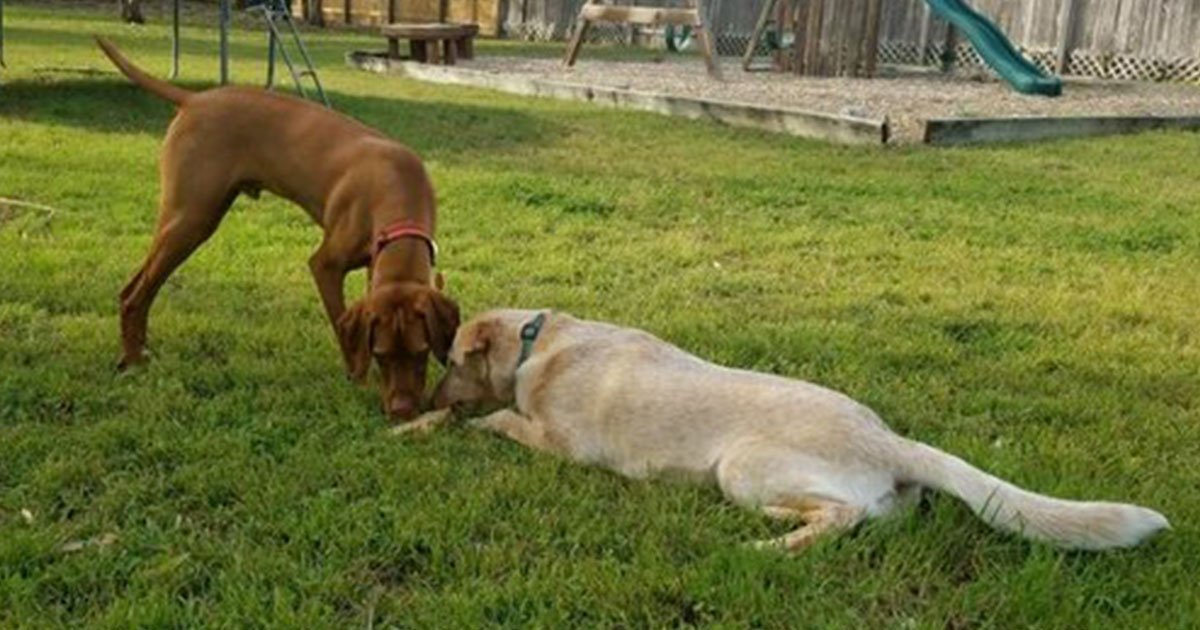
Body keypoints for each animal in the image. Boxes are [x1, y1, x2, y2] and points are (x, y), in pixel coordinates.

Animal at [98, 35, 458, 417]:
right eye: (381, 355)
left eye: (421, 353)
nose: (403, 411)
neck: (396, 189)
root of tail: (195, 99)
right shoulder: (325, 265)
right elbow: (340, 322)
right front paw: (358, 380)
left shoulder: (377, 265)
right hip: (191, 220)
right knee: (134, 294)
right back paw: (133, 361)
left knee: (136, 289)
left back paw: (137, 351)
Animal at [427, 309, 1166, 549]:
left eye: (452, 360)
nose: (423, 398)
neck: (537, 341)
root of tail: (891, 439)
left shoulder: (562, 443)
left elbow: (499, 418)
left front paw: (455, 421)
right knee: (870, 516)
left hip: (740, 467)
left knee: (839, 518)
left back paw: (769, 545)